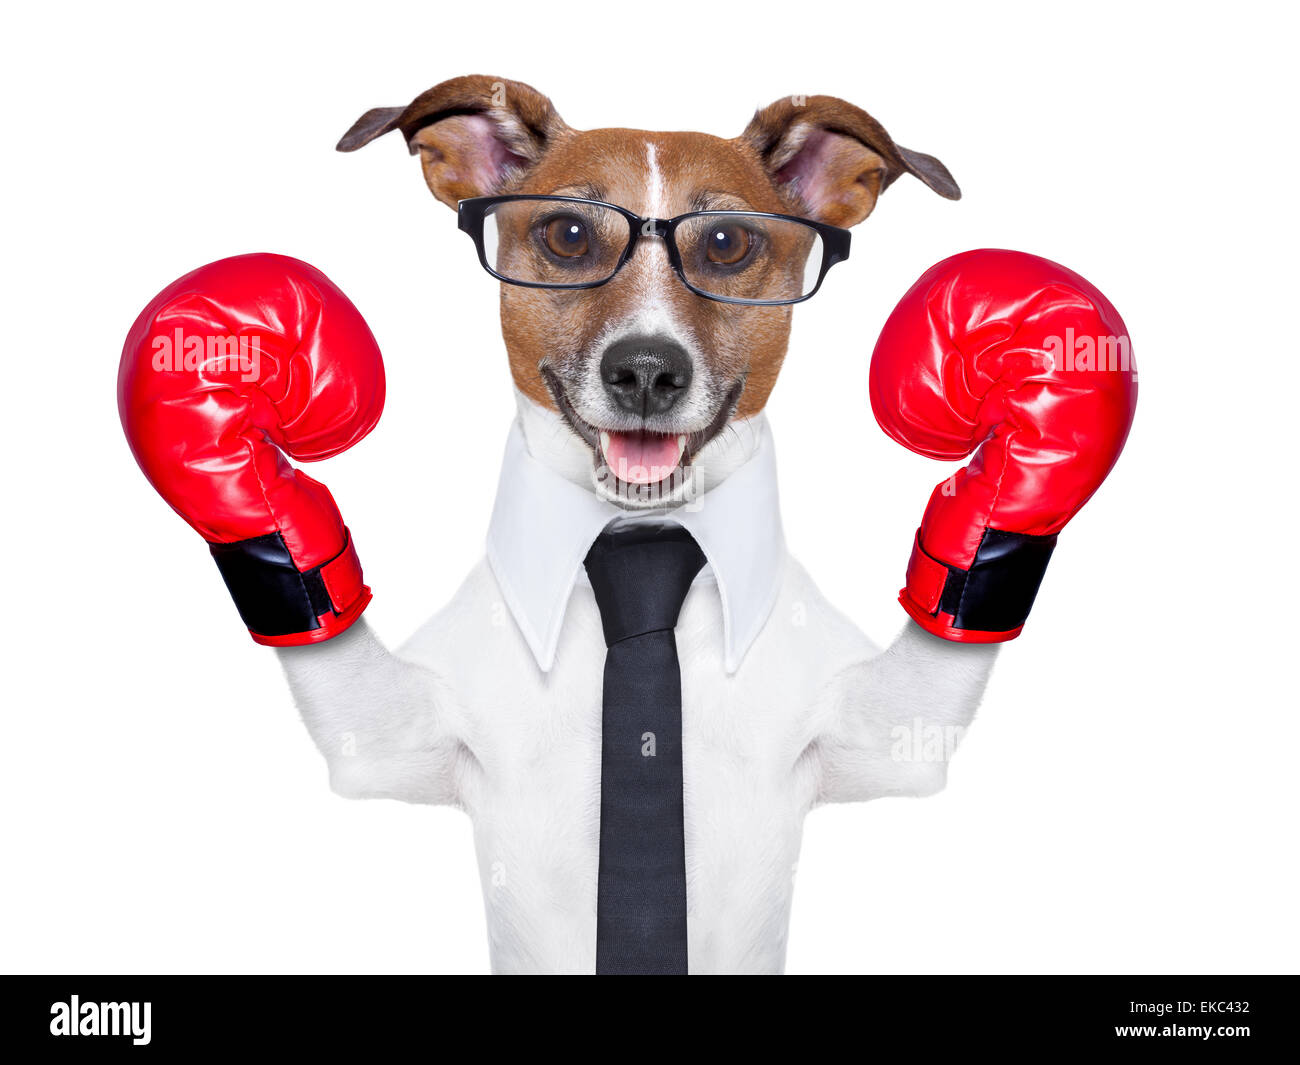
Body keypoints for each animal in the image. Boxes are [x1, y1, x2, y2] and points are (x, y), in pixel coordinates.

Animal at [276, 75, 993, 972]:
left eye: (726, 242)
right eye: (569, 233)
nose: (647, 370)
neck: (636, 535)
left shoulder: (877, 726)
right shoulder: (397, 732)